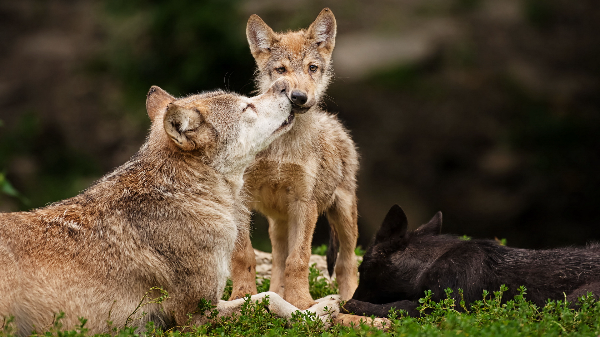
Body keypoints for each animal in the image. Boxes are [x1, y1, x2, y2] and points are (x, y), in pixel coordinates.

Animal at [231, 7, 358, 308]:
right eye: (281, 70)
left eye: (312, 68)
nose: (298, 97)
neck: (282, 146)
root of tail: (334, 123)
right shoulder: (241, 199)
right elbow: (244, 255)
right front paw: (241, 296)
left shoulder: (305, 203)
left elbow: (298, 260)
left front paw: (301, 303)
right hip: (279, 222)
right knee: (278, 260)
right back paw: (276, 296)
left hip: (343, 215)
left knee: (347, 264)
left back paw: (348, 302)